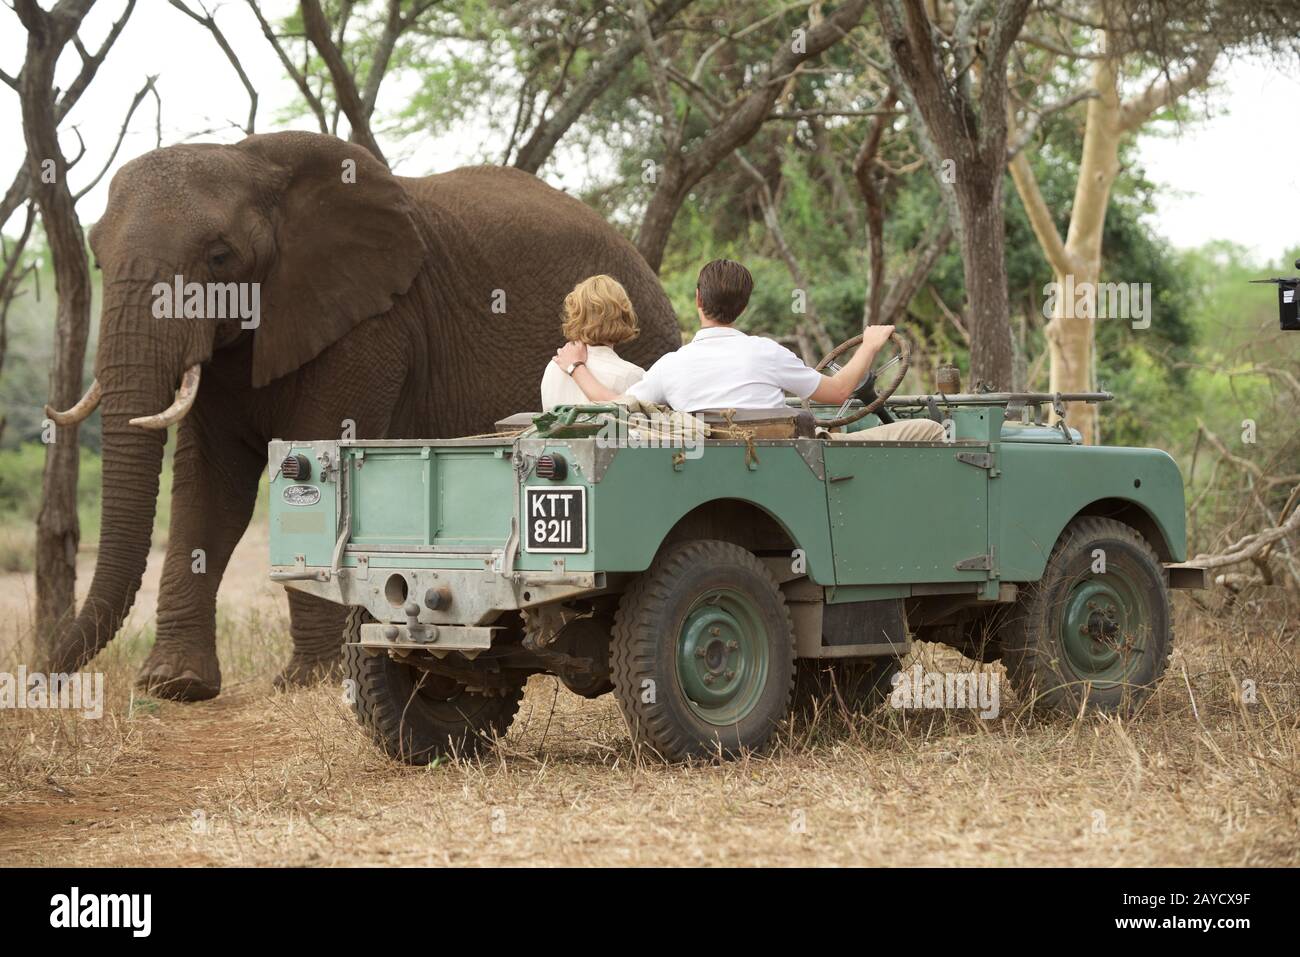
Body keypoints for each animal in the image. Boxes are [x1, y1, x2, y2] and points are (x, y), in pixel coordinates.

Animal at [47, 130, 681, 702]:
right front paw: (173, 685)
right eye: (98, 259)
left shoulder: (370, 328)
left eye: (219, 257)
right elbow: (210, 491)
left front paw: (310, 683)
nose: (47, 675)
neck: (252, 159)